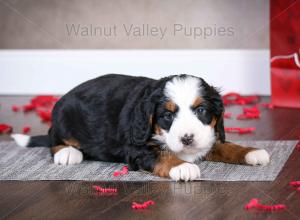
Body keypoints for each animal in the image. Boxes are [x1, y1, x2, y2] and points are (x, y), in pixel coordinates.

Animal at [11, 74, 270, 180]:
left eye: (201, 111)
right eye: (167, 115)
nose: (187, 138)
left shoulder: (207, 136)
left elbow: (224, 144)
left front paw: (251, 152)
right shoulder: (136, 149)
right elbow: (162, 155)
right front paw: (183, 167)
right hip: (63, 117)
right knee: (53, 137)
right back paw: (67, 153)